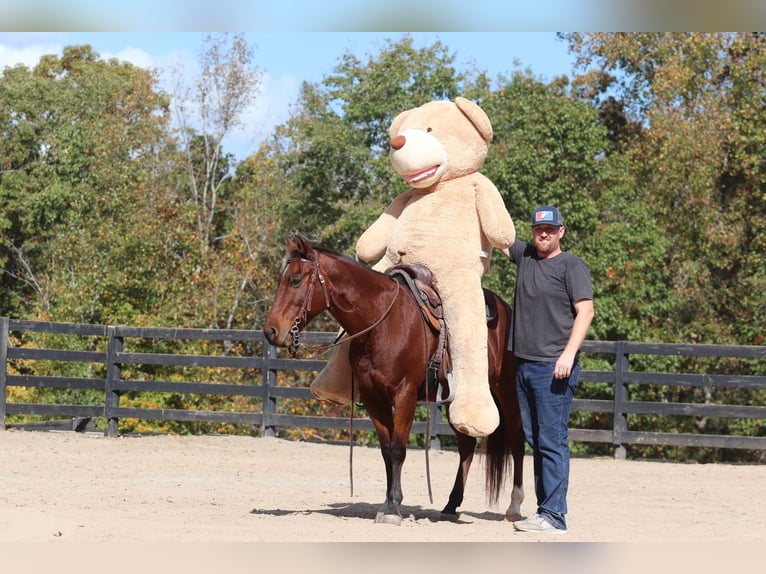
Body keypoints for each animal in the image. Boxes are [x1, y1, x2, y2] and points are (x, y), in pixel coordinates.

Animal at [260, 235, 524, 528]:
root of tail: (506, 309)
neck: (381, 323)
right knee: (466, 445)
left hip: (507, 390)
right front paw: (387, 503)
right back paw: (450, 505)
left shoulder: (405, 395)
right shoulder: (373, 398)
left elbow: (398, 449)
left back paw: (514, 506)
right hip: (452, 400)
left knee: (517, 439)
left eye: (295, 280)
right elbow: (387, 451)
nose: (271, 331)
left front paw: (394, 508)